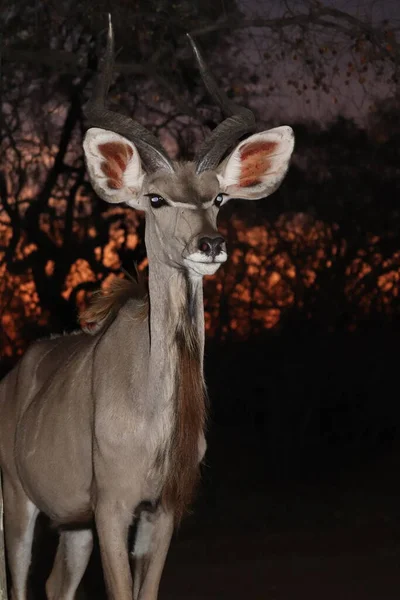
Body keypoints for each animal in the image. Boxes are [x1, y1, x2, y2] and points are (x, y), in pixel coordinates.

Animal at [0, 17, 294, 600]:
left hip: (72, 526)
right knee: (16, 583)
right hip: (17, 506)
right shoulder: (113, 507)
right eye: (156, 199)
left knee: (55, 584)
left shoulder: (159, 513)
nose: (211, 245)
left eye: (219, 198)